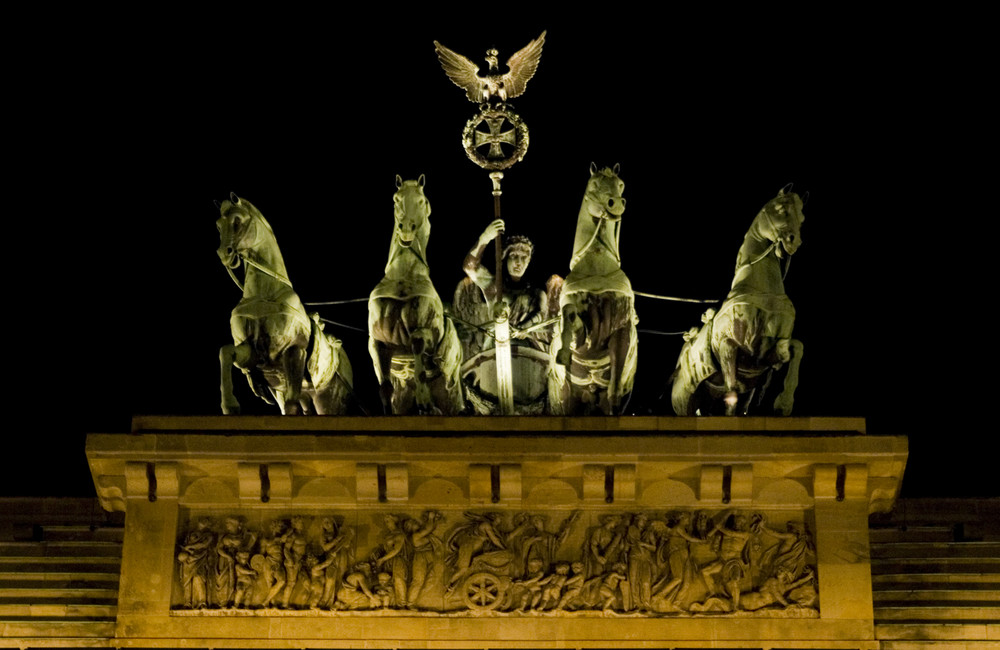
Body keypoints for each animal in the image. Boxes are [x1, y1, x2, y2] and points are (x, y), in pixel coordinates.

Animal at [215, 194, 352, 416]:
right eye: (218, 225)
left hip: (328, 400)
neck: (263, 294)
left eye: (237, 220)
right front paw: (229, 404)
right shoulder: (255, 354)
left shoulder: (293, 351)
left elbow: (290, 405)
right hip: (307, 396)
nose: (224, 254)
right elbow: (225, 352)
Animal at [368, 175, 464, 412]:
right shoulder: (376, 341)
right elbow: (385, 388)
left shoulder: (425, 333)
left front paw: (423, 399)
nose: (406, 229)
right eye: (396, 199)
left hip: (451, 394)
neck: (403, 277)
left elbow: (418, 350)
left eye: (422, 200)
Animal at [552, 163, 636, 416]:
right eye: (594, 184)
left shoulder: (622, 328)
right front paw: (563, 353)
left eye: (621, 184)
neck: (597, 267)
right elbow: (570, 315)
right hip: (566, 396)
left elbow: (615, 387)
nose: (615, 203)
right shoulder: (581, 333)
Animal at [668, 185, 808, 412]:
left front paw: (784, 402)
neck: (759, 287)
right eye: (780, 208)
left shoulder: (764, 355)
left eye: (802, 218)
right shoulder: (729, 346)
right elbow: (731, 391)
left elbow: (797, 347)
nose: (793, 241)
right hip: (685, 402)